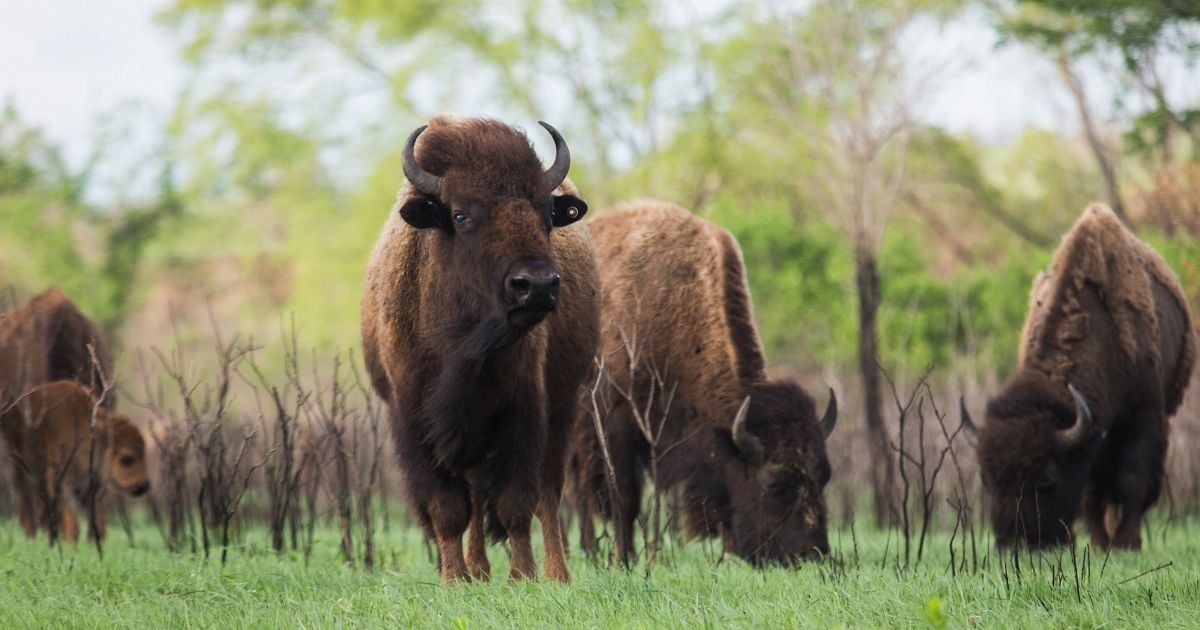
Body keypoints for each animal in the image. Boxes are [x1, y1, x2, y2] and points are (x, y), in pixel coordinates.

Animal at [1, 380, 149, 542]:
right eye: (127, 459)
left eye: (145, 454)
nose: (144, 486)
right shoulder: (61, 480)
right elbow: (70, 518)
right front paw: (71, 542)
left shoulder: (90, 486)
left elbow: (97, 518)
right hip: (22, 473)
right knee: (27, 504)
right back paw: (33, 537)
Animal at [360, 116, 600, 583]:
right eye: (460, 214)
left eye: (546, 211)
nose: (536, 286)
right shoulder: (413, 417)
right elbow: (448, 506)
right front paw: (455, 577)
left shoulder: (522, 410)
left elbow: (516, 502)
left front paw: (523, 576)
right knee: (474, 490)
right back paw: (478, 569)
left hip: (563, 405)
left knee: (548, 490)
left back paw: (556, 573)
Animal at [571, 201, 838, 567]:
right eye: (773, 483)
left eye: (825, 475)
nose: (812, 554)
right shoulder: (615, 423)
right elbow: (624, 498)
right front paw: (625, 561)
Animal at [962, 203, 1196, 550]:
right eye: (985, 477)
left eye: (1046, 476)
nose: (1012, 543)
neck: (1103, 338)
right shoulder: (1094, 437)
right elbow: (1090, 493)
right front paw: (1099, 542)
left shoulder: (1143, 415)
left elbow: (1132, 480)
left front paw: (1126, 542)